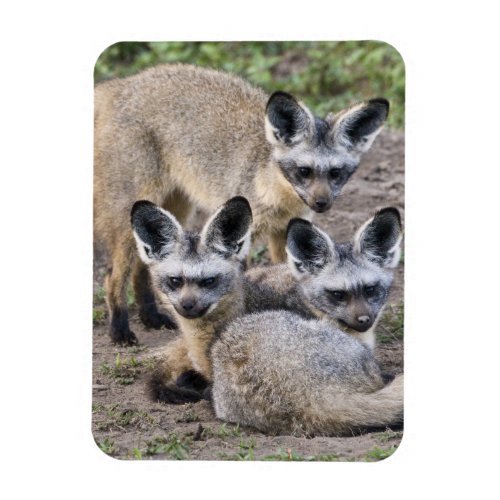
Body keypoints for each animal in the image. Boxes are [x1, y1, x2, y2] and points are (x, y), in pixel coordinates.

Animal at [94, 62, 390, 344]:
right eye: (304, 171)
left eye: (335, 173)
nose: (321, 203)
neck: (277, 196)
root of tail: (121, 84)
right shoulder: (244, 235)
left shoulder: (282, 231)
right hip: (132, 216)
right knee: (113, 276)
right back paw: (120, 329)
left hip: (176, 208)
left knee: (142, 267)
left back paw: (151, 317)